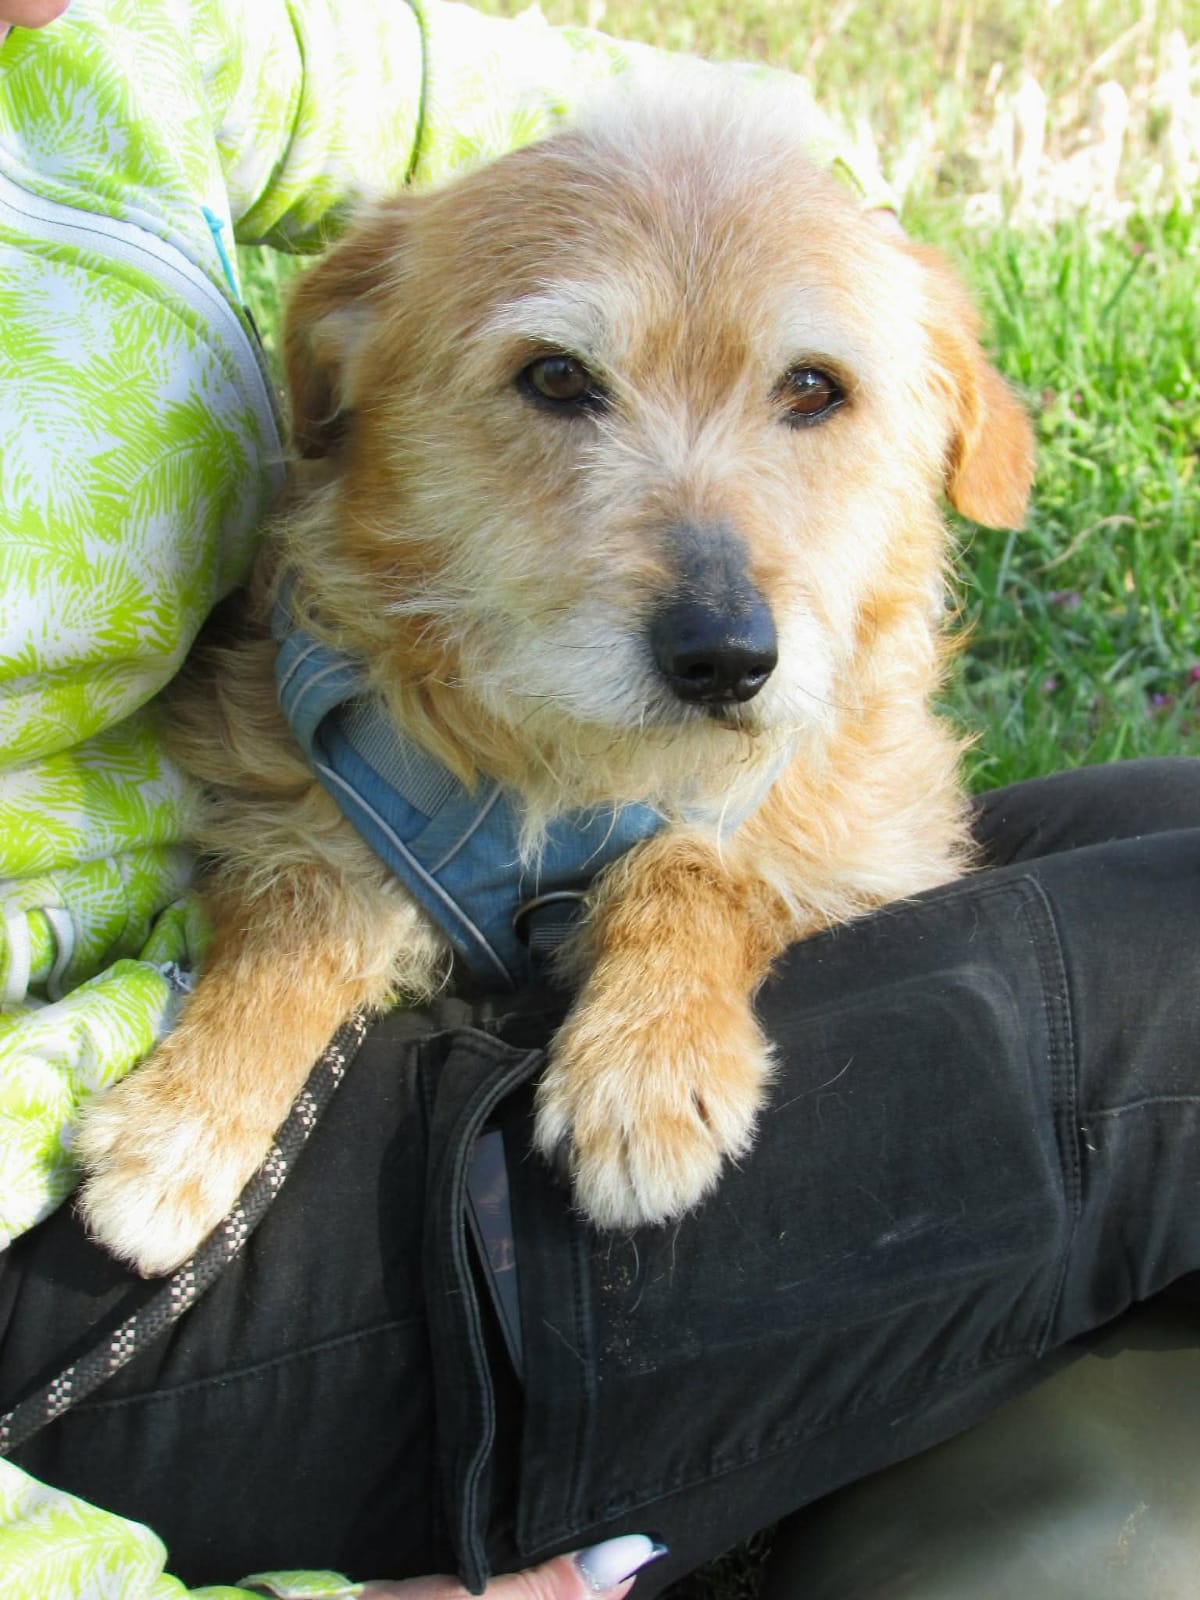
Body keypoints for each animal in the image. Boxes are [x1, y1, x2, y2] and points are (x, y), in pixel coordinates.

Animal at [75, 78, 1034, 1275]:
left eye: (816, 388)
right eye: (558, 376)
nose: (725, 657)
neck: (573, 764)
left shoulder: (874, 825)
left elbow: (708, 863)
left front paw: (651, 1055)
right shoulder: (303, 793)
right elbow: (300, 929)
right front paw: (193, 1112)